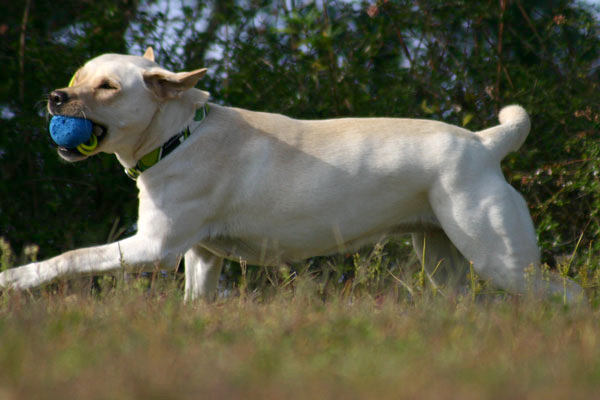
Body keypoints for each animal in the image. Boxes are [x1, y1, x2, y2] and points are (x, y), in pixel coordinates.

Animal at [0, 47, 580, 302]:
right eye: (77, 77)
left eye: (107, 88)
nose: (55, 98)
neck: (177, 134)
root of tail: (486, 142)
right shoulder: (200, 255)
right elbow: (194, 302)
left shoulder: (153, 247)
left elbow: (70, 258)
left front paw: (13, 280)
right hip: (442, 259)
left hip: (500, 258)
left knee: (567, 294)